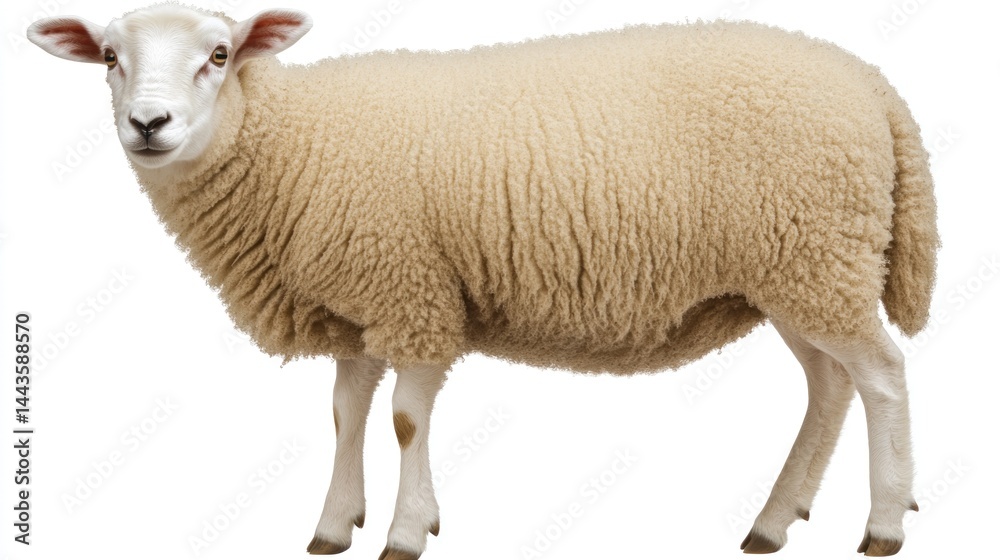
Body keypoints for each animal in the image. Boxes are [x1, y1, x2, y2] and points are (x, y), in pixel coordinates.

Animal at [27, 4, 939, 558]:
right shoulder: (360, 308)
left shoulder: (412, 289)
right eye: (108, 57)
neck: (292, 146)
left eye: (218, 56)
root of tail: (873, 86)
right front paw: (334, 524)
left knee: (884, 376)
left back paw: (883, 523)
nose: (149, 124)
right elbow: (345, 414)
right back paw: (775, 520)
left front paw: (405, 531)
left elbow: (402, 419)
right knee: (829, 385)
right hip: (796, 271)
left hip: (818, 257)